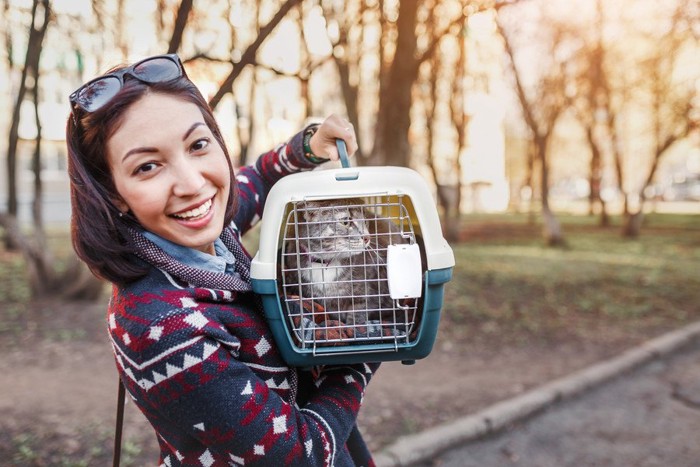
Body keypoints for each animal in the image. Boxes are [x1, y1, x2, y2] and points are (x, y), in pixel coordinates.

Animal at [280, 198, 416, 332]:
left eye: (365, 222)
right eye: (345, 222)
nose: (367, 237)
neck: (325, 263)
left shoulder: (366, 293)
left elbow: (357, 315)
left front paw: (352, 330)